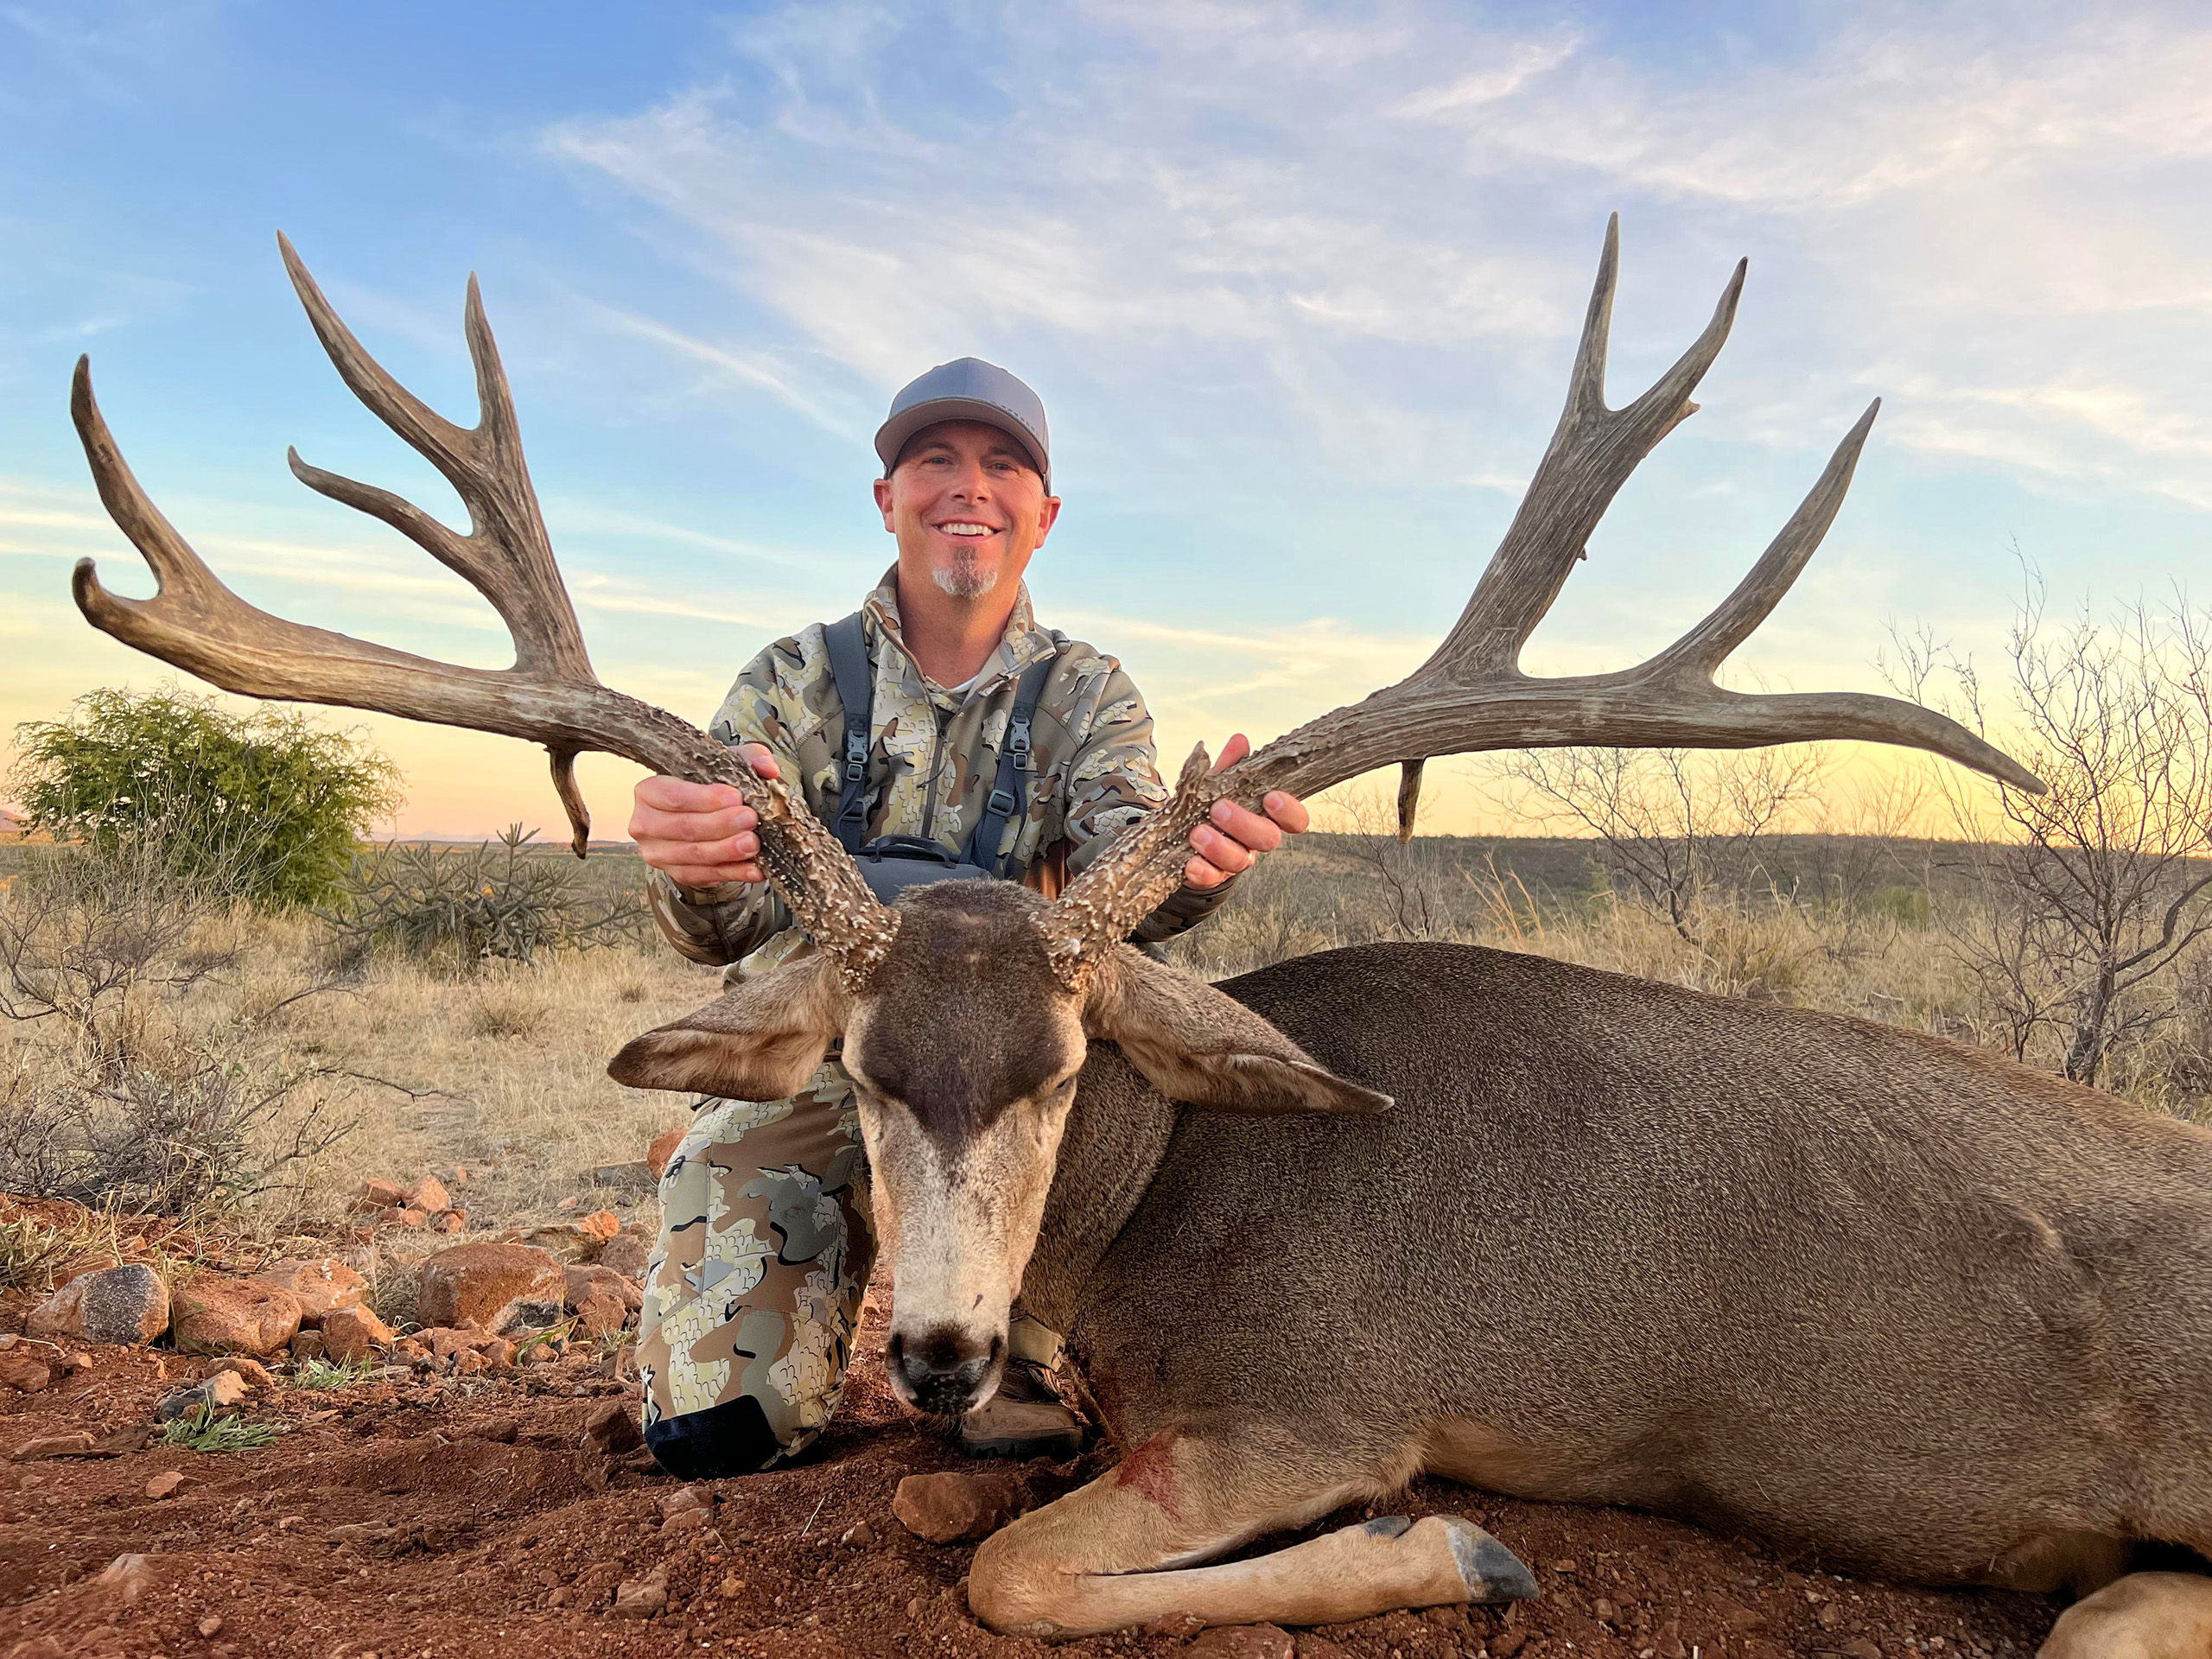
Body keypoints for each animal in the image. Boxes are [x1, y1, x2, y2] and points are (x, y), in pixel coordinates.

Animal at [61, 221, 2212, 1659]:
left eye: (1063, 1065)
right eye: (856, 1072)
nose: (933, 1352)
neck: (1159, 1200)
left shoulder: (1314, 1401)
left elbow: (1012, 1572)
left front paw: (1453, 1552)